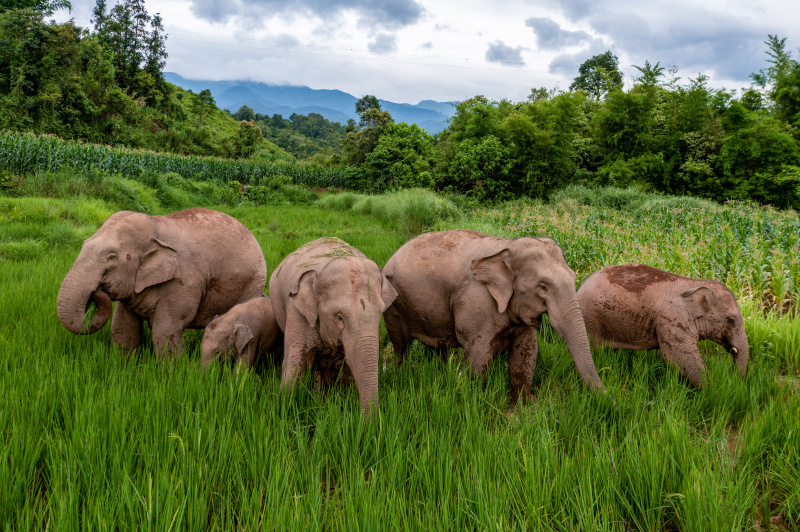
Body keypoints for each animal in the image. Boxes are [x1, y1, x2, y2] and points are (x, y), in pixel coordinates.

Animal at [57, 208, 267, 357]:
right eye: (83, 244)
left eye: (112, 257)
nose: (95, 292)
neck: (156, 224)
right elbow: (123, 327)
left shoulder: (183, 282)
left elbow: (166, 330)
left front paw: (171, 376)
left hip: (252, 283)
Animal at [268, 237, 397, 415]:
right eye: (339, 317)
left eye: (380, 314)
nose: (367, 422)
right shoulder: (297, 312)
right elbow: (295, 365)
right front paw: (284, 410)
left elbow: (344, 370)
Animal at [383, 230, 607, 403]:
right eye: (543, 287)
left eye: (573, 277)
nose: (612, 402)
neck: (507, 248)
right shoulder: (476, 302)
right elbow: (479, 354)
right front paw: (474, 402)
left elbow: (526, 350)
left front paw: (523, 408)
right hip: (393, 305)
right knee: (401, 345)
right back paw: (403, 374)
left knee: (436, 348)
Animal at [577, 264, 749, 388]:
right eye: (731, 320)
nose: (736, 380)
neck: (695, 284)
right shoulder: (672, 321)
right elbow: (680, 359)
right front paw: (714, 390)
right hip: (590, 319)